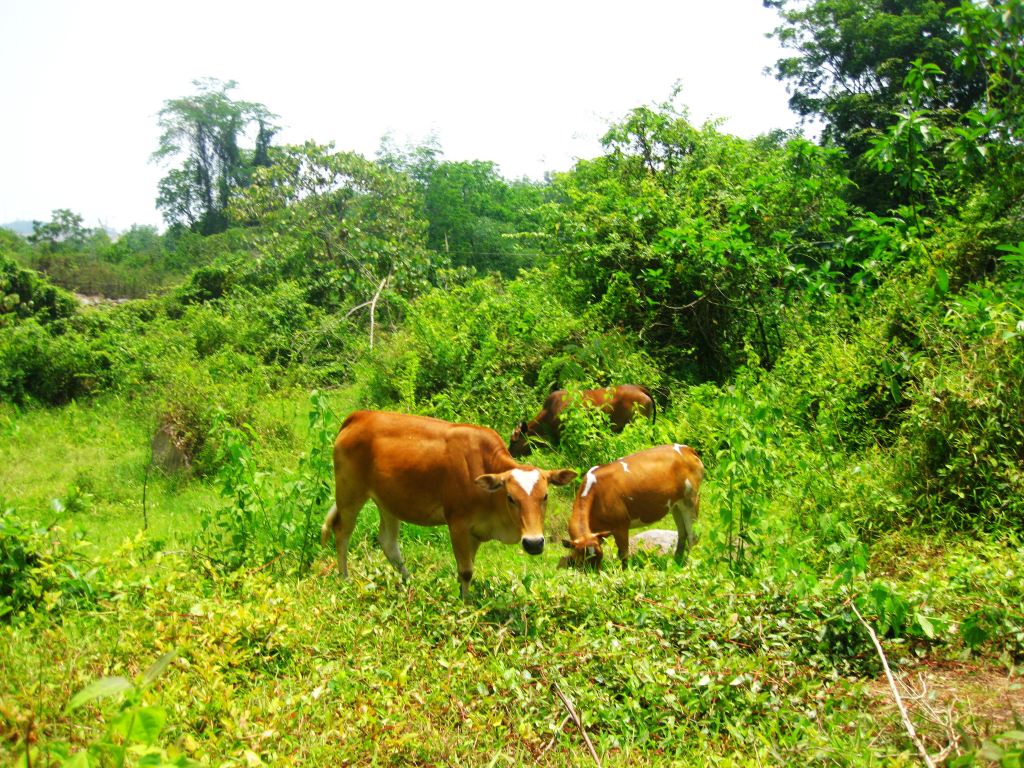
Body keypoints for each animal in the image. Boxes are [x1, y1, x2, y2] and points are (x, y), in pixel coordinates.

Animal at [319, 411, 577, 606]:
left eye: (545, 496)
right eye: (511, 497)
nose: (534, 543)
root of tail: (359, 416)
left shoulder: (476, 532)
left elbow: (467, 568)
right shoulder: (458, 524)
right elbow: (465, 570)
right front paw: (465, 605)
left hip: (387, 502)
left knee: (388, 542)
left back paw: (410, 582)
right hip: (350, 494)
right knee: (342, 532)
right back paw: (344, 579)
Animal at [561, 444, 704, 573]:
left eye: (600, 556)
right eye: (582, 560)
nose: (596, 575)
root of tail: (687, 449)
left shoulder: (621, 524)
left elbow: (624, 554)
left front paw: (625, 574)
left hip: (691, 499)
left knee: (693, 535)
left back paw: (688, 565)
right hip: (676, 505)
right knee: (682, 533)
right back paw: (677, 561)